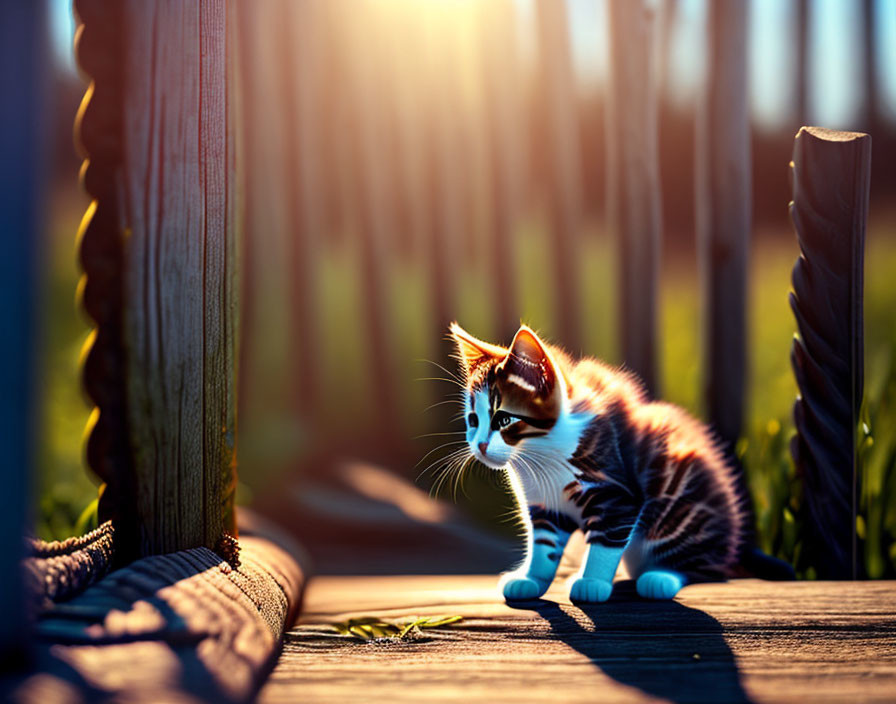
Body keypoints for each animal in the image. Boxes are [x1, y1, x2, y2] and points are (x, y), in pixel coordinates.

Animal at [448, 322, 792, 604]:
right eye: (473, 420)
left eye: (504, 419)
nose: (479, 446)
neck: (541, 456)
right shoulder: (545, 504)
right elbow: (543, 544)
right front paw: (532, 579)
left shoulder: (617, 495)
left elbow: (606, 542)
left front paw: (593, 583)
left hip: (682, 511)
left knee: (705, 569)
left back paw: (661, 577)